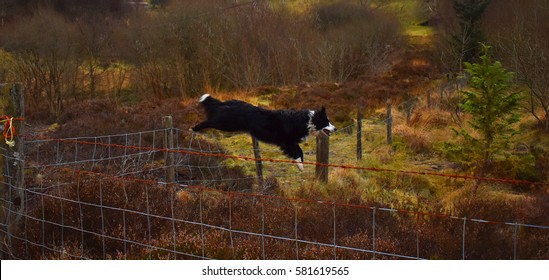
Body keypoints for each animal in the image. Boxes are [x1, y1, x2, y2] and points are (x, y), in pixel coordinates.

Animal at [191, 93, 336, 171]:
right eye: (326, 122)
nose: (335, 128)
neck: (308, 121)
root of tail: (225, 103)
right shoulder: (287, 142)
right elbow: (298, 152)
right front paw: (300, 165)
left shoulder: (290, 142)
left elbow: (299, 151)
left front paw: (300, 165)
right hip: (225, 123)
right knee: (208, 122)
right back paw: (192, 129)